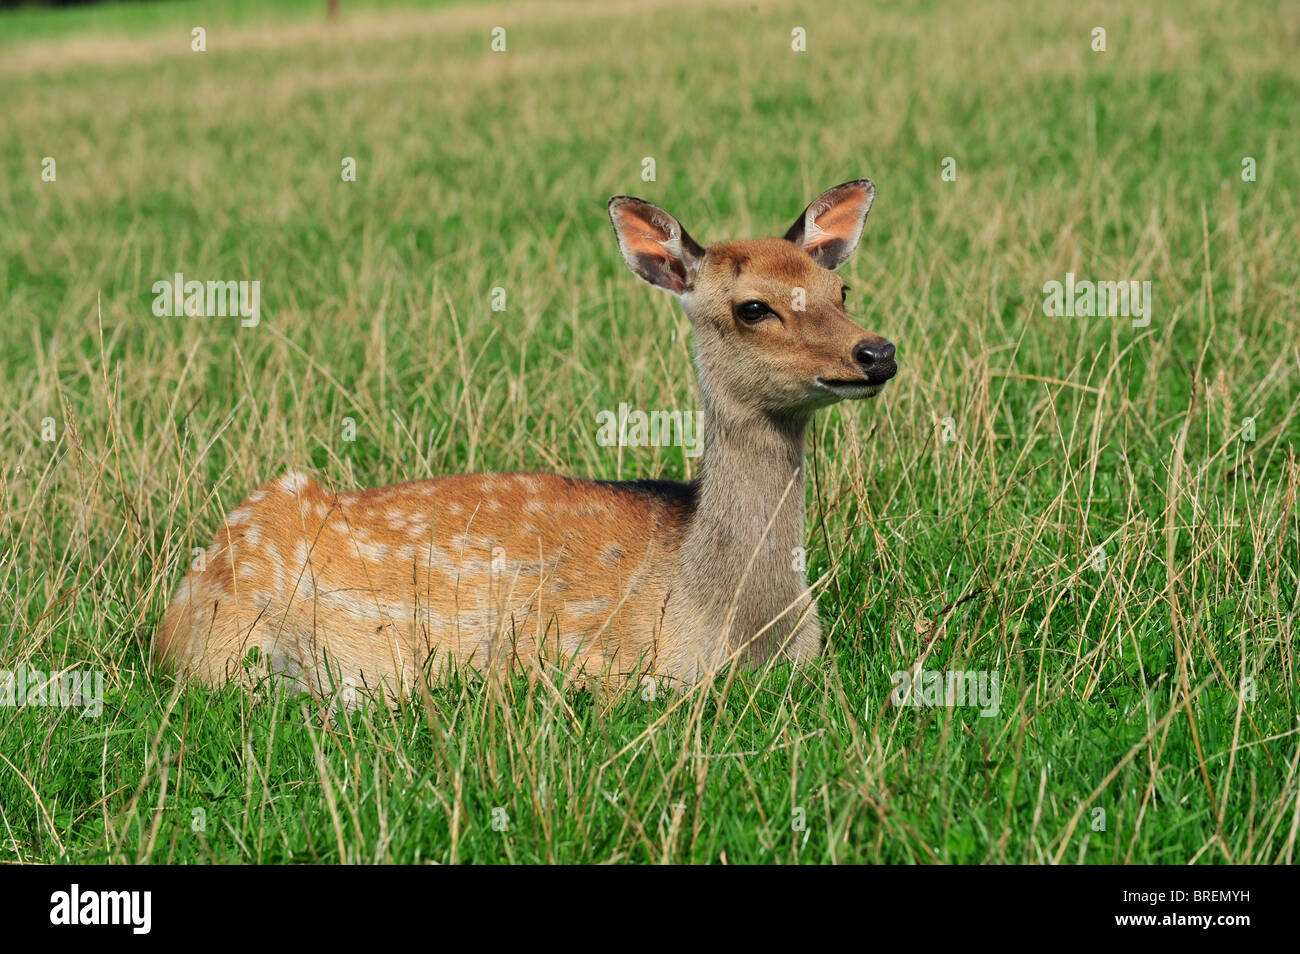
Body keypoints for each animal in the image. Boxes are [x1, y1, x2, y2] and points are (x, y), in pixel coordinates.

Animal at [154, 180, 894, 701]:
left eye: (840, 287)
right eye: (752, 307)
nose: (877, 351)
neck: (737, 627)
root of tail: (169, 621)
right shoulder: (570, 656)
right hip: (231, 646)